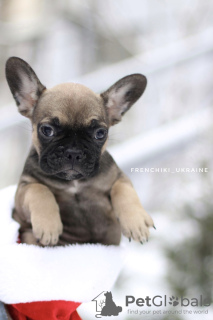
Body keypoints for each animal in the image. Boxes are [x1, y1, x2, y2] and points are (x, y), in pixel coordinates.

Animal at [5, 57, 155, 245]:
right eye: (47, 130)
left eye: (100, 133)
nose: (74, 152)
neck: (74, 182)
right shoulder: (23, 189)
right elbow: (39, 190)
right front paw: (49, 225)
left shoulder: (119, 178)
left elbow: (124, 191)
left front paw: (137, 222)